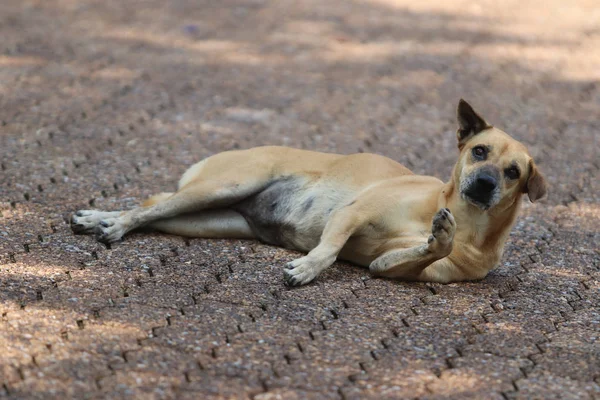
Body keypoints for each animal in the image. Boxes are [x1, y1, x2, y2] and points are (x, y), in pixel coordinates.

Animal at [72, 100, 548, 288]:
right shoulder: (353, 212)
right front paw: (306, 269)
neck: (467, 221)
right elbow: (330, 249)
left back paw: (99, 218)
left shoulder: (391, 267)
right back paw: (111, 223)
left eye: (512, 172)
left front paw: (440, 237)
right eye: (479, 151)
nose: (484, 183)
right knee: (145, 208)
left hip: (206, 220)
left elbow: (425, 250)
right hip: (221, 187)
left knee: (154, 210)